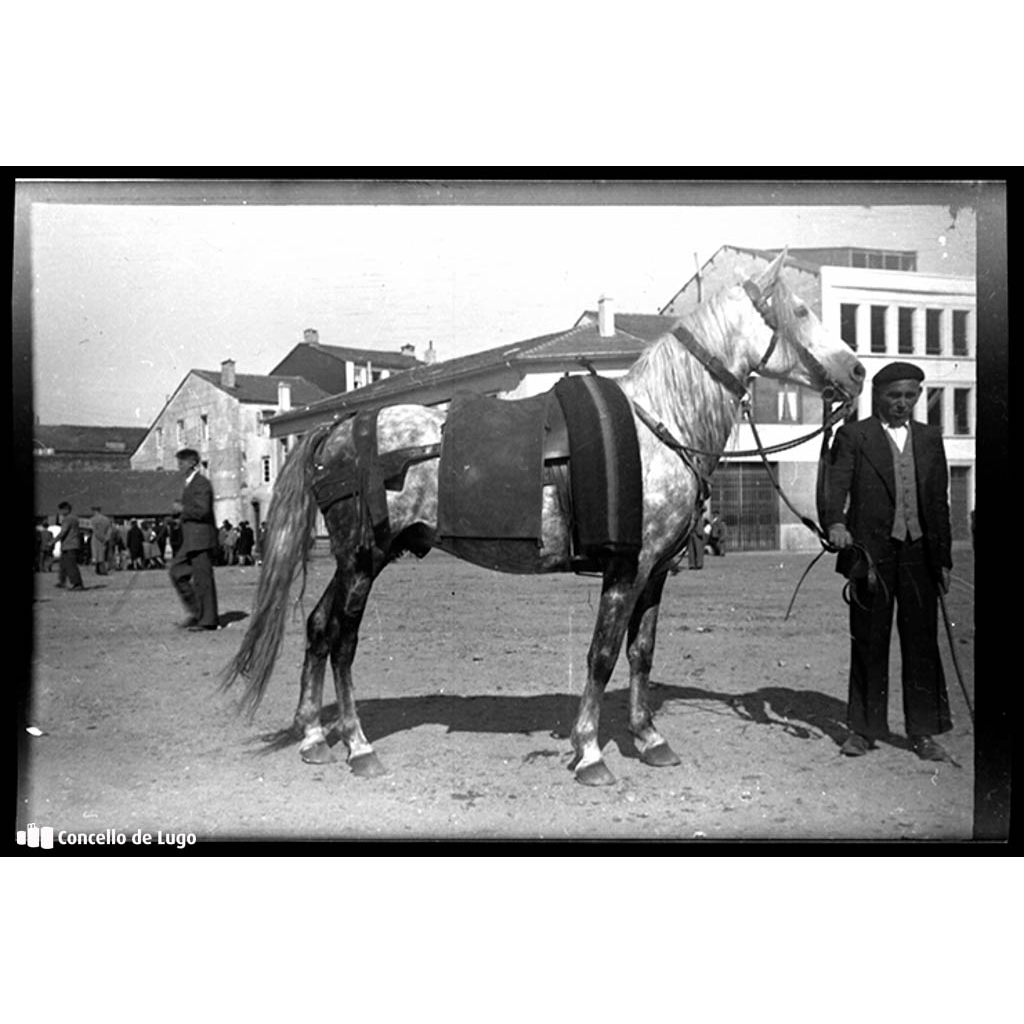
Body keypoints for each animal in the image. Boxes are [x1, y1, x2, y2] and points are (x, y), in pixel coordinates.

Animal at [222, 251, 864, 786]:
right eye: (801, 310)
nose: (858, 372)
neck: (657, 425)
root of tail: (338, 429)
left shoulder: (656, 573)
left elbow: (641, 653)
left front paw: (649, 738)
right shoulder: (625, 569)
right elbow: (602, 655)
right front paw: (591, 752)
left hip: (356, 559)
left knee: (317, 627)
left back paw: (313, 736)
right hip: (362, 559)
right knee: (343, 641)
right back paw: (357, 746)